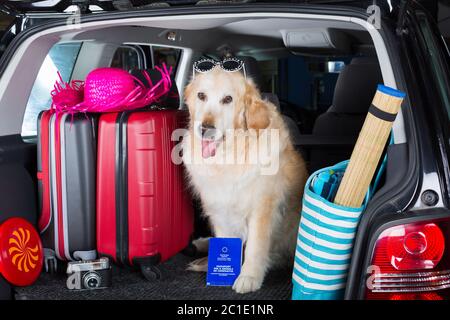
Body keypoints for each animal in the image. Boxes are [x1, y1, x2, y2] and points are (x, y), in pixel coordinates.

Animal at [181, 66, 308, 294]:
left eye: (228, 99)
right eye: (201, 96)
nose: (205, 128)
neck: (229, 157)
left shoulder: (261, 209)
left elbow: (255, 247)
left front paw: (249, 276)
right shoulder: (218, 208)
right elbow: (225, 238)